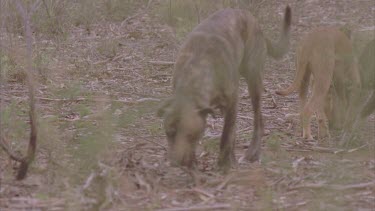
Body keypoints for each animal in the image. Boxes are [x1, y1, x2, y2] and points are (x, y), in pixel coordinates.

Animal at [157, 6, 292, 171]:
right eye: (169, 133)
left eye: (190, 135)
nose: (176, 162)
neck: (196, 72)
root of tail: (256, 24)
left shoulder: (232, 101)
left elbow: (227, 133)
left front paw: (224, 163)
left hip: (253, 78)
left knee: (257, 120)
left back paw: (252, 152)